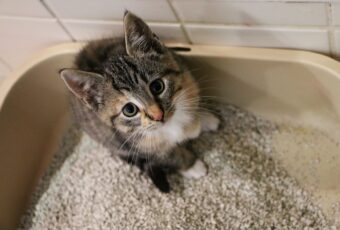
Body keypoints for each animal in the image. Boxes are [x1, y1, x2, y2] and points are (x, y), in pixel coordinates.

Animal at [59, 10, 219, 192]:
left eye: (157, 86)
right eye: (129, 110)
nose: (158, 115)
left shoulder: (185, 76)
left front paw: (203, 119)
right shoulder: (140, 146)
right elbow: (169, 156)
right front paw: (192, 166)